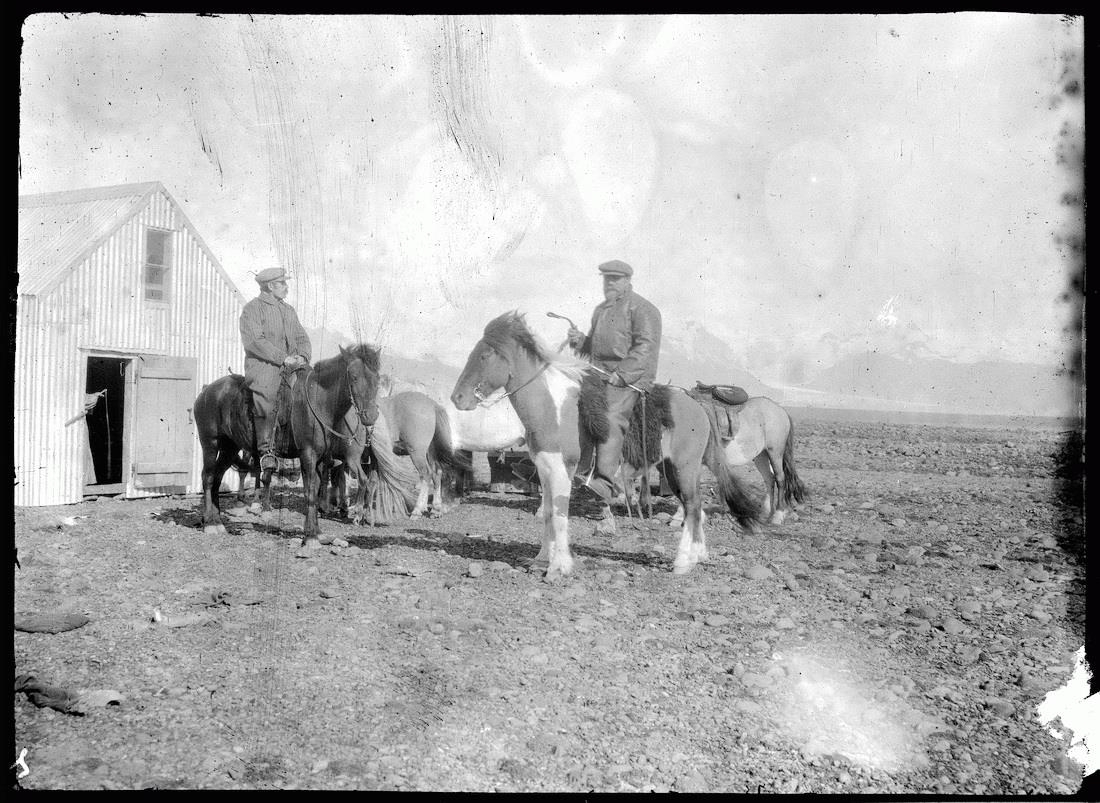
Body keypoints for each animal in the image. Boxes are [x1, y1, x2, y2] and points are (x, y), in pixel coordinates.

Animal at [450, 311, 763, 576]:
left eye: (485, 355)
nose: (457, 398)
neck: (552, 408)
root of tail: (697, 404)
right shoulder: (546, 469)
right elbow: (548, 513)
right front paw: (541, 559)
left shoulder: (563, 471)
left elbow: (559, 516)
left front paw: (559, 567)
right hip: (675, 469)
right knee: (692, 507)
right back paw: (698, 555)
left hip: (684, 467)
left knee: (694, 505)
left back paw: (683, 563)